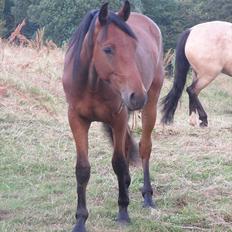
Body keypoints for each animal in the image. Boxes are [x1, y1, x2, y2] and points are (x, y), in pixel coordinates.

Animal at [61, 1, 163, 230]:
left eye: (134, 47)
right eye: (108, 49)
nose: (137, 95)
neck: (91, 83)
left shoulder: (118, 118)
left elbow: (118, 162)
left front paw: (123, 211)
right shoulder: (77, 120)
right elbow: (82, 169)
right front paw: (80, 220)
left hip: (150, 105)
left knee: (144, 148)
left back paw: (147, 196)